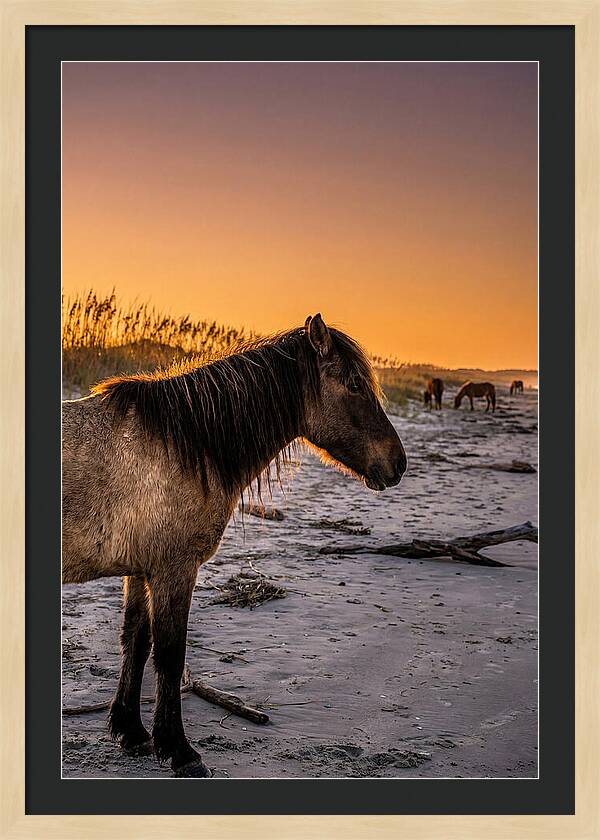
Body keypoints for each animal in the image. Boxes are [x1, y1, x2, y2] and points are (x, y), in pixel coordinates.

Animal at [62, 314, 407, 778]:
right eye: (354, 384)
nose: (398, 463)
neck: (185, 444)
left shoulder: (141, 570)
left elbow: (136, 640)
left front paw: (131, 732)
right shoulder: (175, 570)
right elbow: (170, 654)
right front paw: (179, 750)